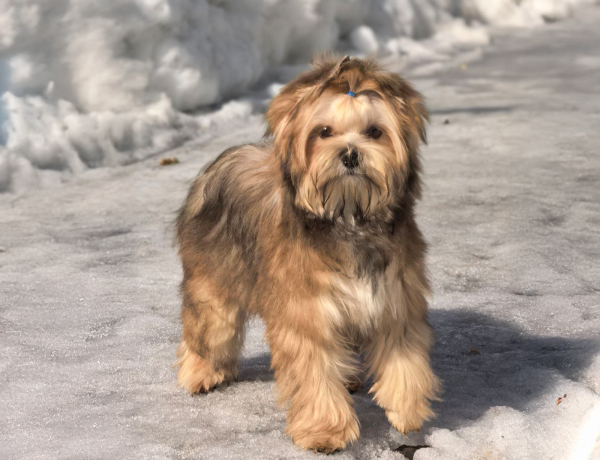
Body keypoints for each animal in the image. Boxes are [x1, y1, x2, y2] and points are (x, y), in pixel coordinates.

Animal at [175, 53, 440, 453]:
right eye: (324, 132)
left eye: (374, 132)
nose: (350, 155)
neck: (349, 218)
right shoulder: (308, 313)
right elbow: (314, 370)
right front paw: (325, 431)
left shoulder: (395, 299)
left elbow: (404, 358)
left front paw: (406, 407)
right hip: (213, 279)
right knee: (209, 327)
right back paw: (201, 373)